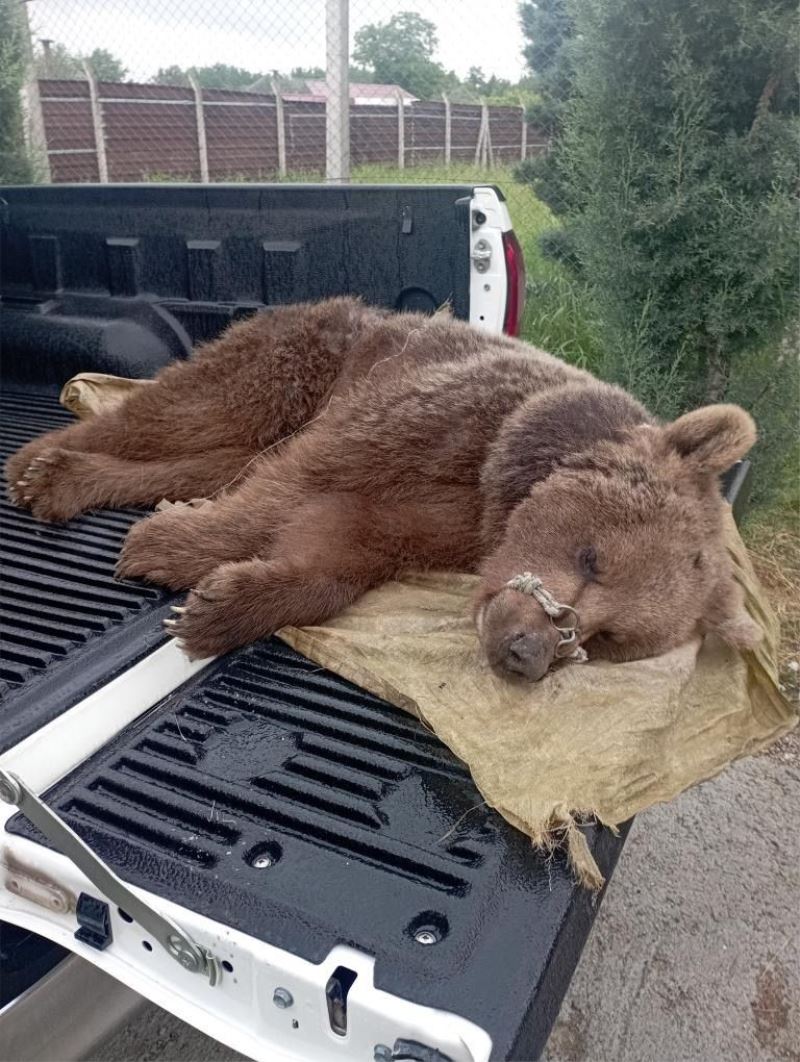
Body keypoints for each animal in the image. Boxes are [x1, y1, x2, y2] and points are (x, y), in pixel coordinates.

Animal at [4, 297, 756, 679]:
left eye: (607, 640)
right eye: (593, 558)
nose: (525, 654)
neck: (504, 463)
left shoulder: (449, 521)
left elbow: (345, 544)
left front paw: (219, 605)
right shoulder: (429, 423)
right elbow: (303, 481)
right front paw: (169, 547)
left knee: (219, 455)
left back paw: (81, 482)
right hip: (299, 359)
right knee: (186, 411)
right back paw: (39, 466)